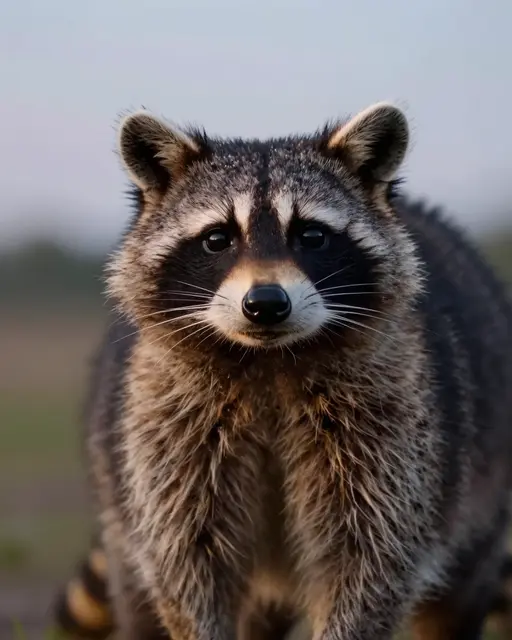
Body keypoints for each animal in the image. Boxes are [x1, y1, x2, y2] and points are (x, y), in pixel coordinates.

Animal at [52, 102, 512, 640]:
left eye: (311, 235)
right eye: (218, 239)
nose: (266, 304)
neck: (268, 361)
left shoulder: (390, 425)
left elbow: (370, 559)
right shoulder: (171, 426)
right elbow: (188, 562)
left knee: (453, 601)